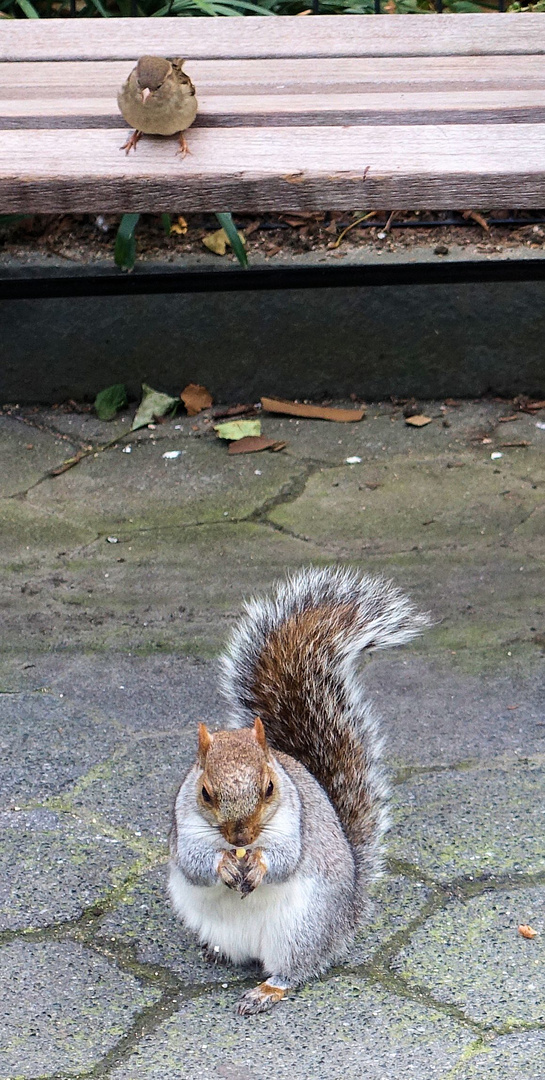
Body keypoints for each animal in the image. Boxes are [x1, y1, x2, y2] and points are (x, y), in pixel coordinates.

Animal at [168, 565, 427, 1010]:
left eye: (270, 787)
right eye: (205, 793)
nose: (241, 837)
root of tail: (347, 915)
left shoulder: (295, 824)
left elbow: (285, 858)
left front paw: (258, 865)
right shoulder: (185, 828)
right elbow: (194, 862)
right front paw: (223, 864)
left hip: (300, 930)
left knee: (297, 968)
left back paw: (268, 989)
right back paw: (215, 952)